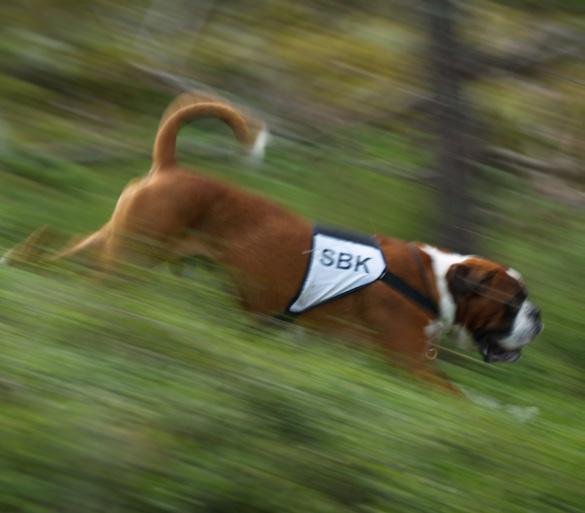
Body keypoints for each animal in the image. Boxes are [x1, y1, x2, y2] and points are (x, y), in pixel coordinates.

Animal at [3, 91, 544, 392]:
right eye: (513, 300)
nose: (538, 316)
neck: (436, 281)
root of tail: (169, 167)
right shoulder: (413, 364)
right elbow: (465, 401)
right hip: (130, 257)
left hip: (113, 242)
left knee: (53, 253)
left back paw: (22, 264)